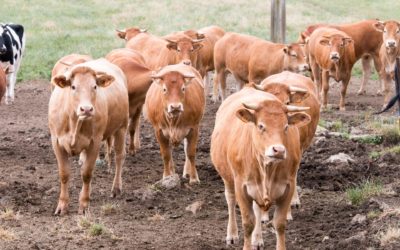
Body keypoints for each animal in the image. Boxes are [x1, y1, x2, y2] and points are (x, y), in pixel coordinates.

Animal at [48, 58, 128, 215]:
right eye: (73, 86)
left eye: (95, 86)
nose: (86, 109)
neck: (74, 121)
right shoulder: (56, 142)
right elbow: (64, 174)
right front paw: (62, 205)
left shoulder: (95, 142)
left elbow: (86, 173)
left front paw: (84, 204)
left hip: (122, 127)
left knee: (119, 157)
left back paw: (116, 188)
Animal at [211, 86, 310, 250]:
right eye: (261, 126)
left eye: (286, 126)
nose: (279, 150)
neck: (267, 168)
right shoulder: (241, 187)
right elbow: (247, 223)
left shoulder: (288, 187)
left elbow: (279, 223)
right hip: (228, 178)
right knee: (230, 201)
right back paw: (232, 234)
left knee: (257, 210)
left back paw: (257, 239)